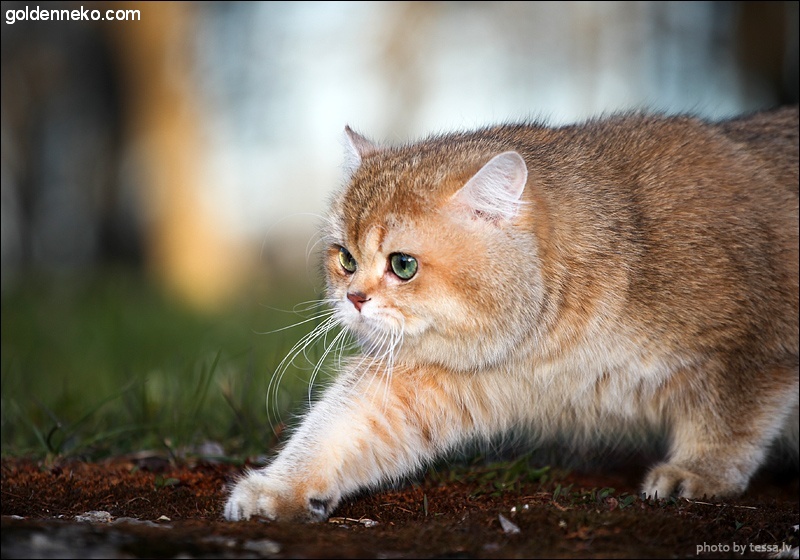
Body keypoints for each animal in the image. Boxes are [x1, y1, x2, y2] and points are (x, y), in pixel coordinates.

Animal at [222, 107, 796, 524]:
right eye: (345, 258)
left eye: (402, 265)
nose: (354, 299)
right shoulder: (419, 381)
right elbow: (337, 428)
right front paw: (278, 488)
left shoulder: (752, 351)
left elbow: (727, 421)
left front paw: (700, 473)